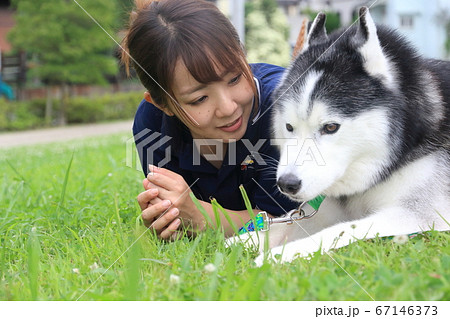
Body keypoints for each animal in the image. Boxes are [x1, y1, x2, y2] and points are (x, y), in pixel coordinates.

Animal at [255, 8, 448, 268]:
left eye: (330, 127)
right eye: (289, 126)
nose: (287, 184)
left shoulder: (421, 214)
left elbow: (340, 230)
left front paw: (279, 254)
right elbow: (273, 227)